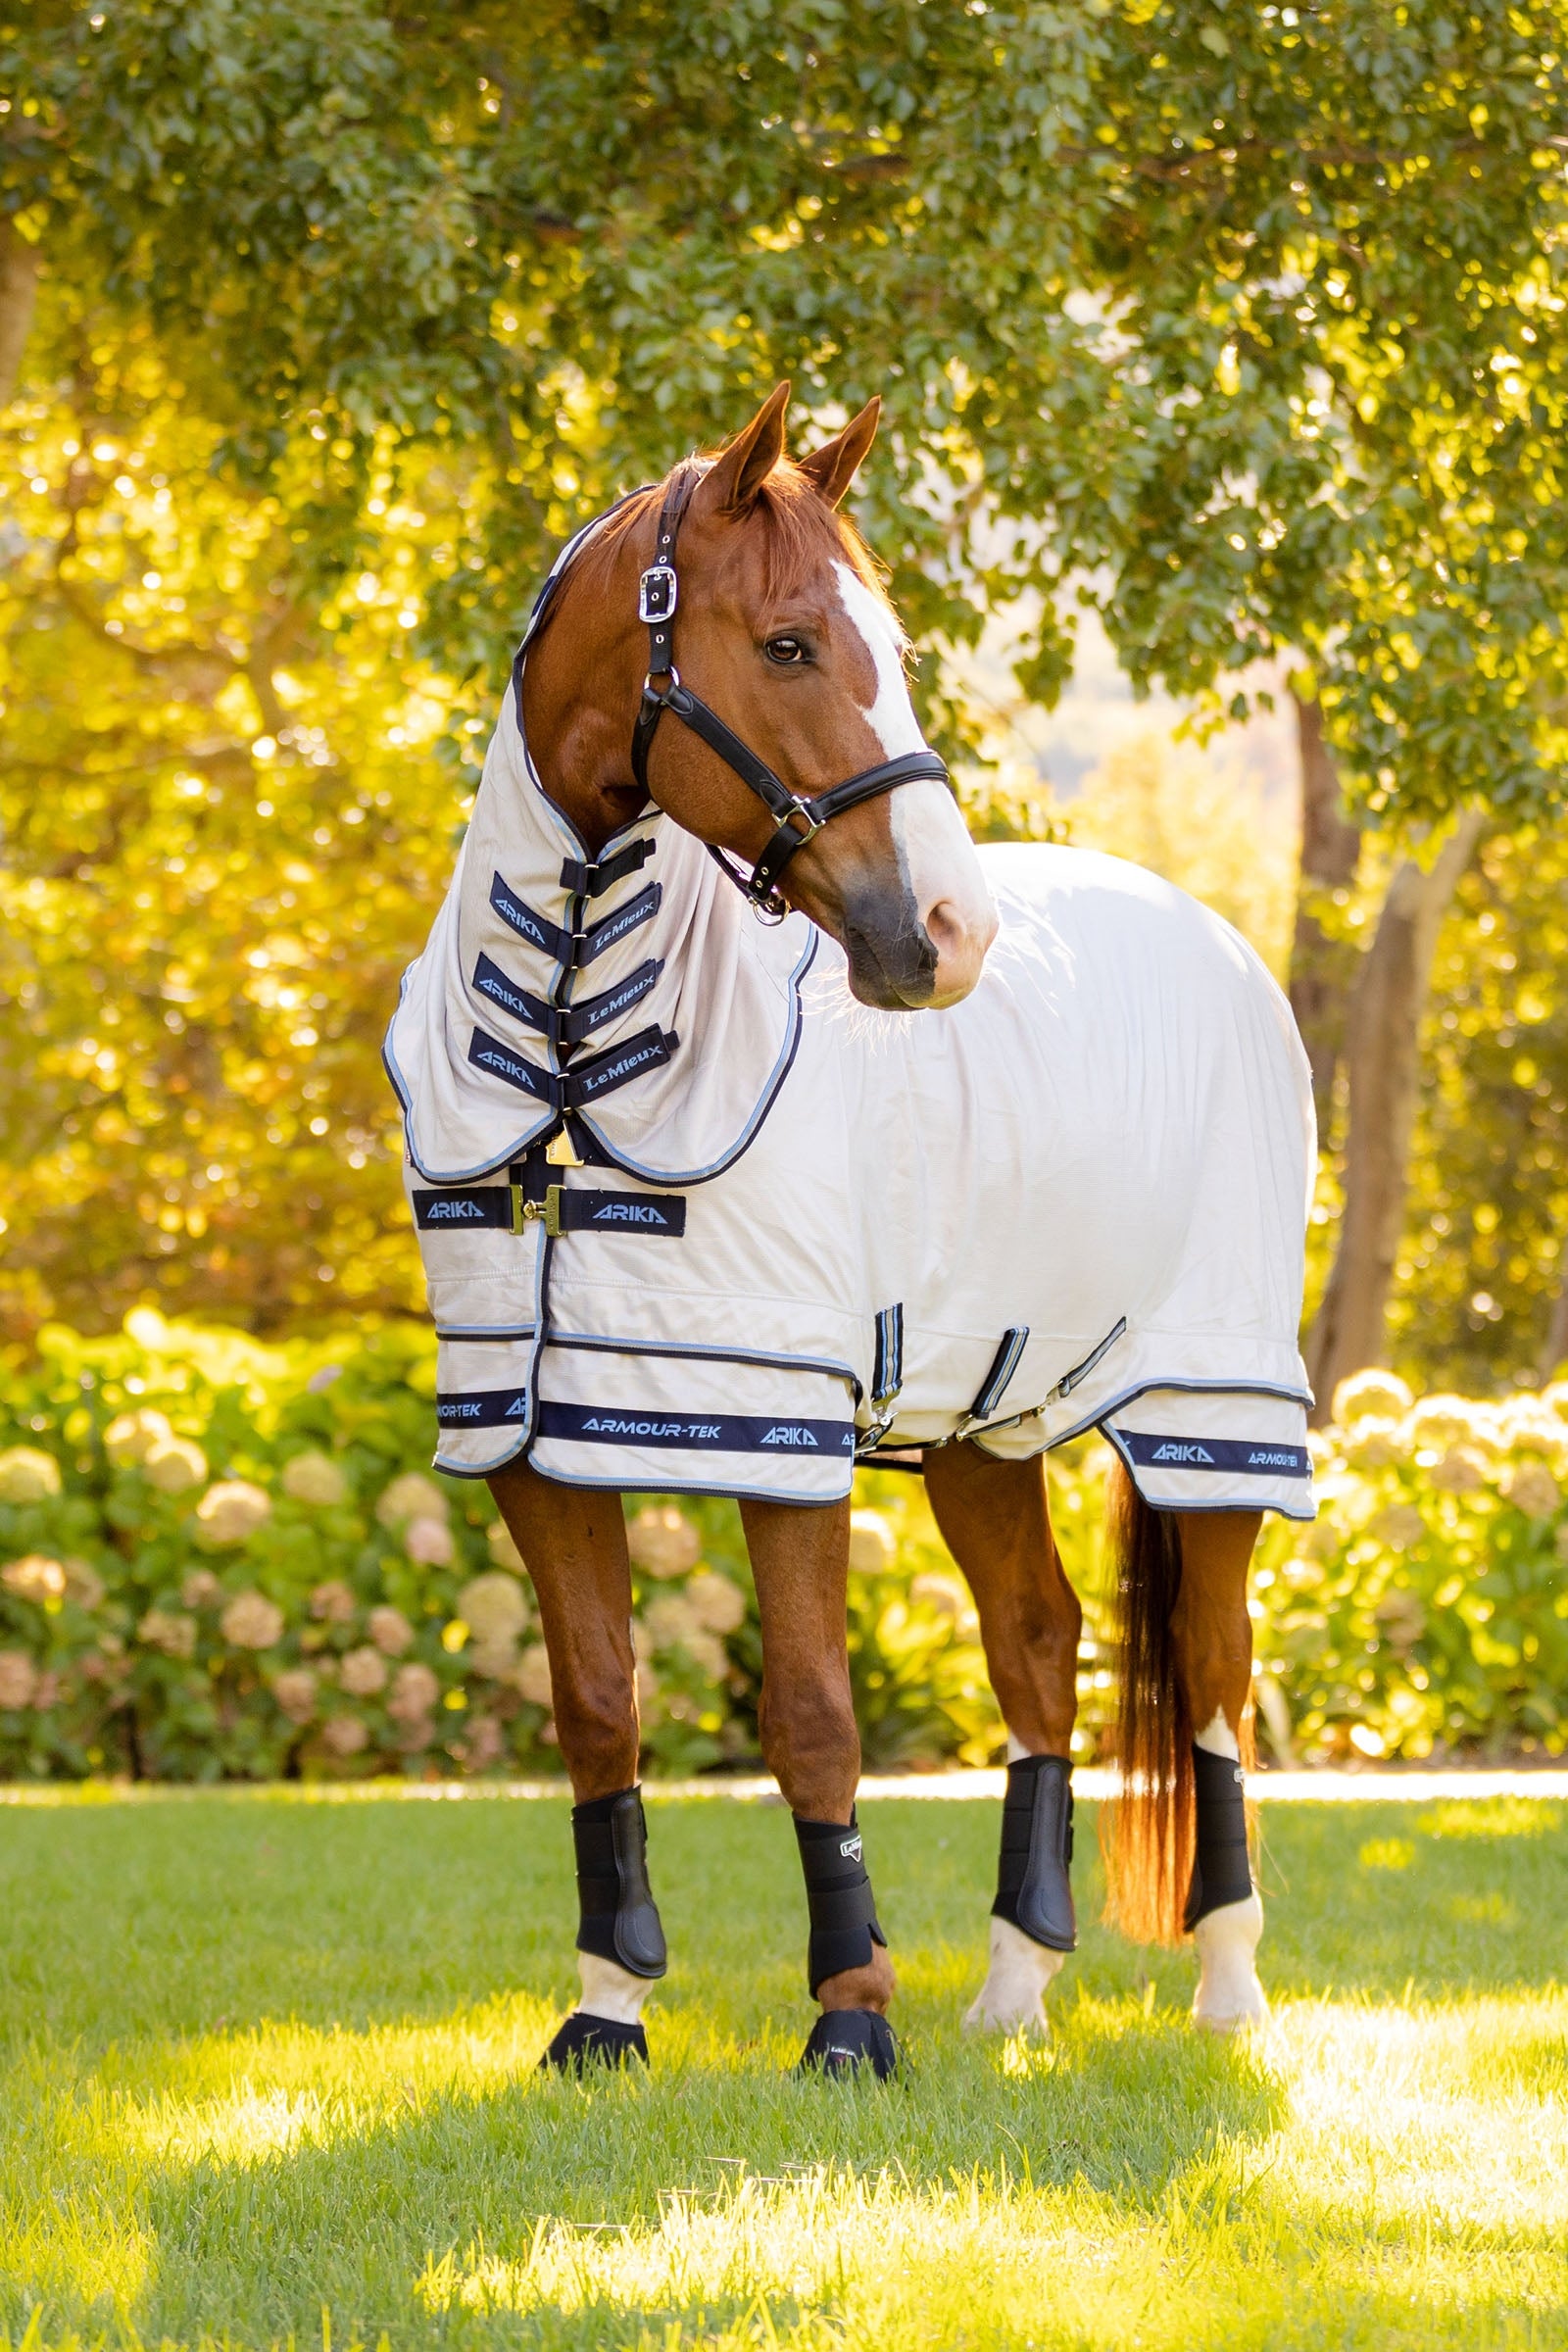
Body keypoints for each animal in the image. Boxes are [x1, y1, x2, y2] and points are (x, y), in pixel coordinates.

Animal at [385, 383, 1316, 2077]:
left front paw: (852, 2020)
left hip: (1215, 1412)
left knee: (1216, 1676)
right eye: (793, 643)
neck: (568, 1050)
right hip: (984, 1420)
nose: (950, 936)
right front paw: (605, 2009)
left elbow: (812, 1715)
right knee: (1037, 1648)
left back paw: (1228, 1992)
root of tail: (1213, 934)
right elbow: (598, 1705)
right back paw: (1012, 1992)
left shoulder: (779, 1423)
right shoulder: (530, 1432)